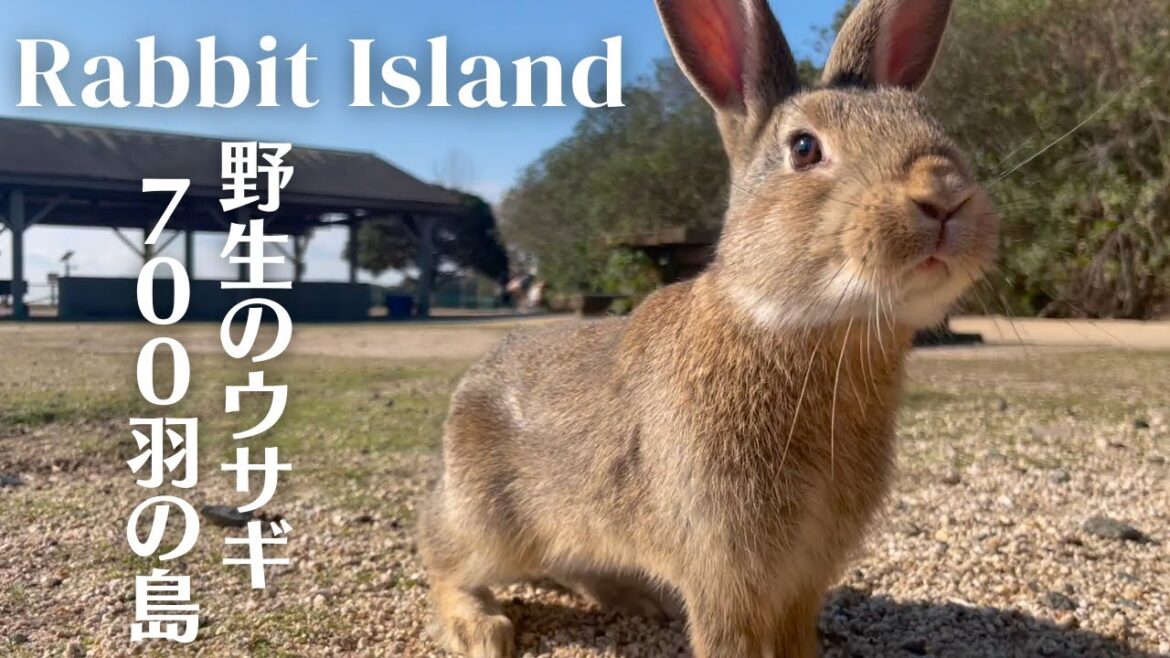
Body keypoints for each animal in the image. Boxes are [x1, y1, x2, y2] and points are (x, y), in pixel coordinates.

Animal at [416, 0, 1000, 656]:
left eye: (933, 125)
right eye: (804, 147)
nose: (944, 195)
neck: (796, 327)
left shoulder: (803, 576)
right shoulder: (725, 568)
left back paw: (636, 599)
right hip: (493, 523)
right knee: (442, 551)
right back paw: (481, 627)